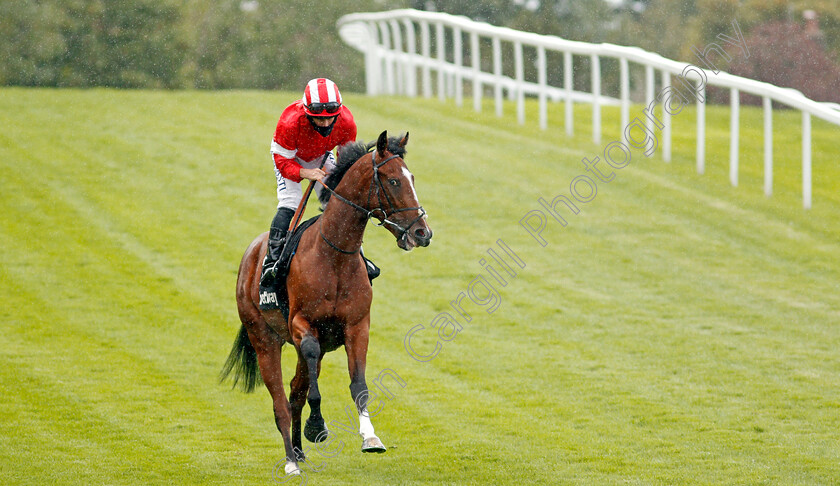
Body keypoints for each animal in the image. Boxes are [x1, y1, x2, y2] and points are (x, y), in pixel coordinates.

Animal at [221, 131, 434, 476]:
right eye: (393, 181)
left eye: (411, 178)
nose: (422, 232)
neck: (335, 255)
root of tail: (249, 255)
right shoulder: (302, 326)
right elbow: (312, 387)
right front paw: (317, 426)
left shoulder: (357, 326)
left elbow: (358, 385)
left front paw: (370, 438)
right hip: (263, 338)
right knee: (280, 401)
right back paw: (291, 462)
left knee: (295, 391)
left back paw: (298, 451)